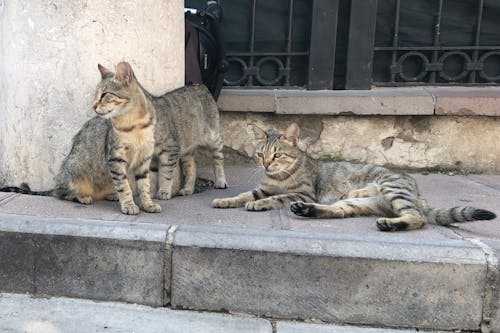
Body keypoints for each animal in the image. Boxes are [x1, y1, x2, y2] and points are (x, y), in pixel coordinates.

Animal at [212, 122, 496, 231]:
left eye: (278, 155)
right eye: (261, 154)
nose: (267, 165)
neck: (278, 178)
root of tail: (418, 191)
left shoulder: (302, 191)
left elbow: (272, 199)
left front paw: (258, 205)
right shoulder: (265, 187)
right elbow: (245, 194)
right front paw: (225, 200)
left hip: (392, 188)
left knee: (418, 218)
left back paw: (392, 224)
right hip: (355, 203)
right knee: (338, 210)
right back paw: (308, 210)